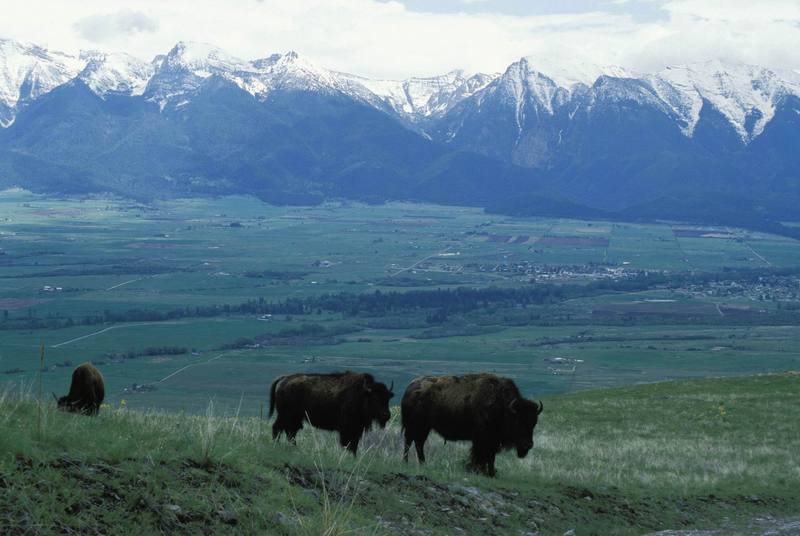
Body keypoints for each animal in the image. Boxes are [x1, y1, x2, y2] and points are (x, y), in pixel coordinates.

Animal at [400, 372, 544, 478]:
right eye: (518, 421)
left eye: (534, 423)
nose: (528, 445)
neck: (503, 406)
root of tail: (409, 387)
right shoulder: (483, 439)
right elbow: (480, 455)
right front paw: (478, 471)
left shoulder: (492, 440)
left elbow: (490, 457)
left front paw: (490, 473)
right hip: (416, 426)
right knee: (409, 441)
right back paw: (406, 462)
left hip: (424, 428)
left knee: (418, 443)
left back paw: (423, 464)